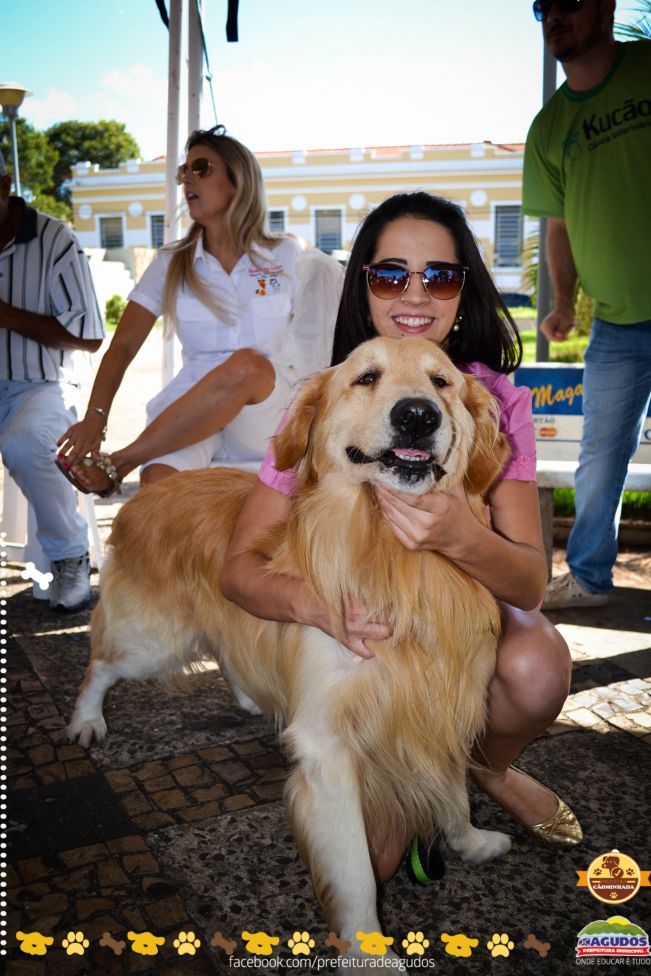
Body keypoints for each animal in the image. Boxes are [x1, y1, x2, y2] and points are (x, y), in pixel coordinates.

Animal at [68, 336, 512, 956]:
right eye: (366, 377)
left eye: (441, 382)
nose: (418, 415)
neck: (389, 550)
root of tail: (148, 490)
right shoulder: (330, 747)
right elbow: (354, 872)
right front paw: (369, 952)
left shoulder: (444, 700)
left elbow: (452, 790)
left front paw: (470, 841)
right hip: (150, 641)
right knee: (99, 663)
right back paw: (86, 720)